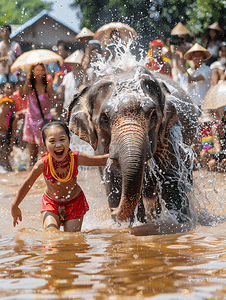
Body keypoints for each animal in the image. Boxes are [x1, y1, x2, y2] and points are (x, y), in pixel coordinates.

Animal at [68, 66, 198, 225]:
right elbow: (115, 184)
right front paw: (128, 225)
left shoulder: (169, 137)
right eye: (104, 118)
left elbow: (171, 183)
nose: (112, 211)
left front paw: (179, 223)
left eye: (153, 115)